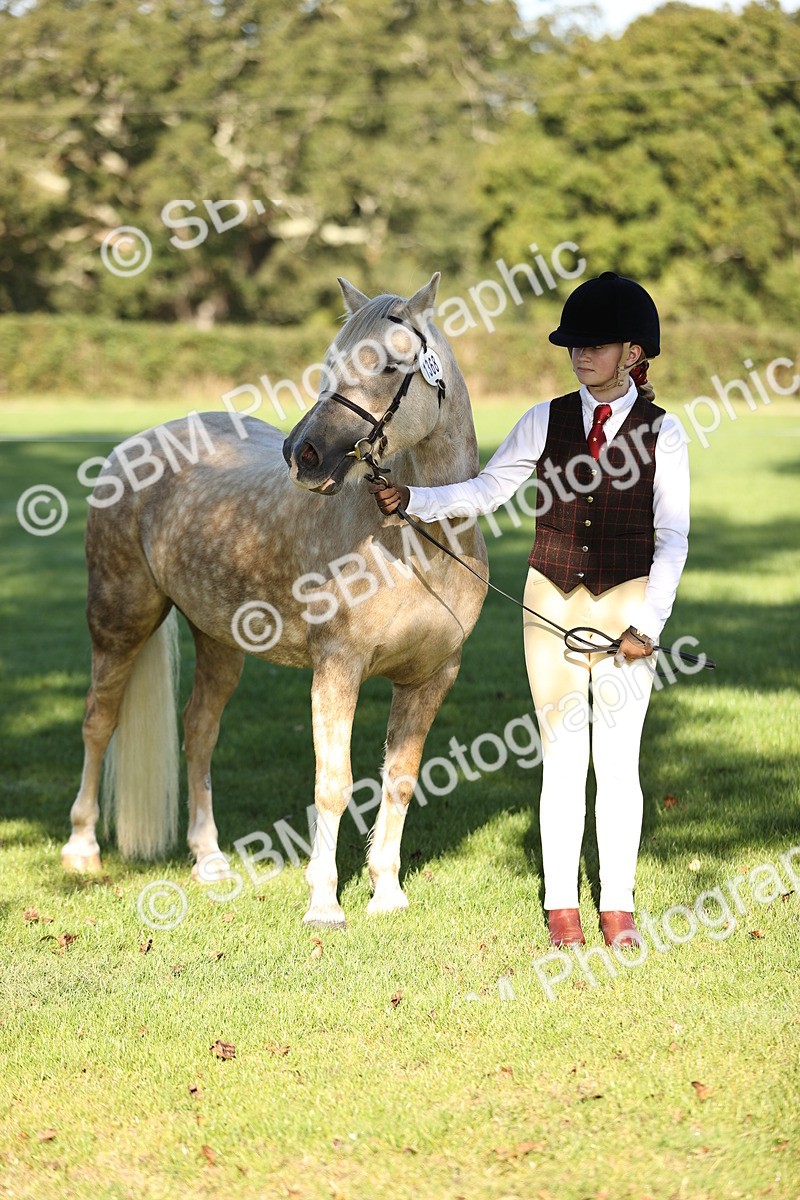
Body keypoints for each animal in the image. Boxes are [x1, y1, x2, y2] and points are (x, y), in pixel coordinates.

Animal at [61, 273, 488, 927]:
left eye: (391, 366)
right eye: (332, 364)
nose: (303, 454)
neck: (417, 540)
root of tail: (135, 445)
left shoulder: (432, 676)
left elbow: (400, 779)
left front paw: (387, 893)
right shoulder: (337, 668)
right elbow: (333, 783)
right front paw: (324, 904)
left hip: (217, 640)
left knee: (199, 731)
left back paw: (209, 860)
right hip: (119, 621)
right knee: (98, 723)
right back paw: (82, 850)